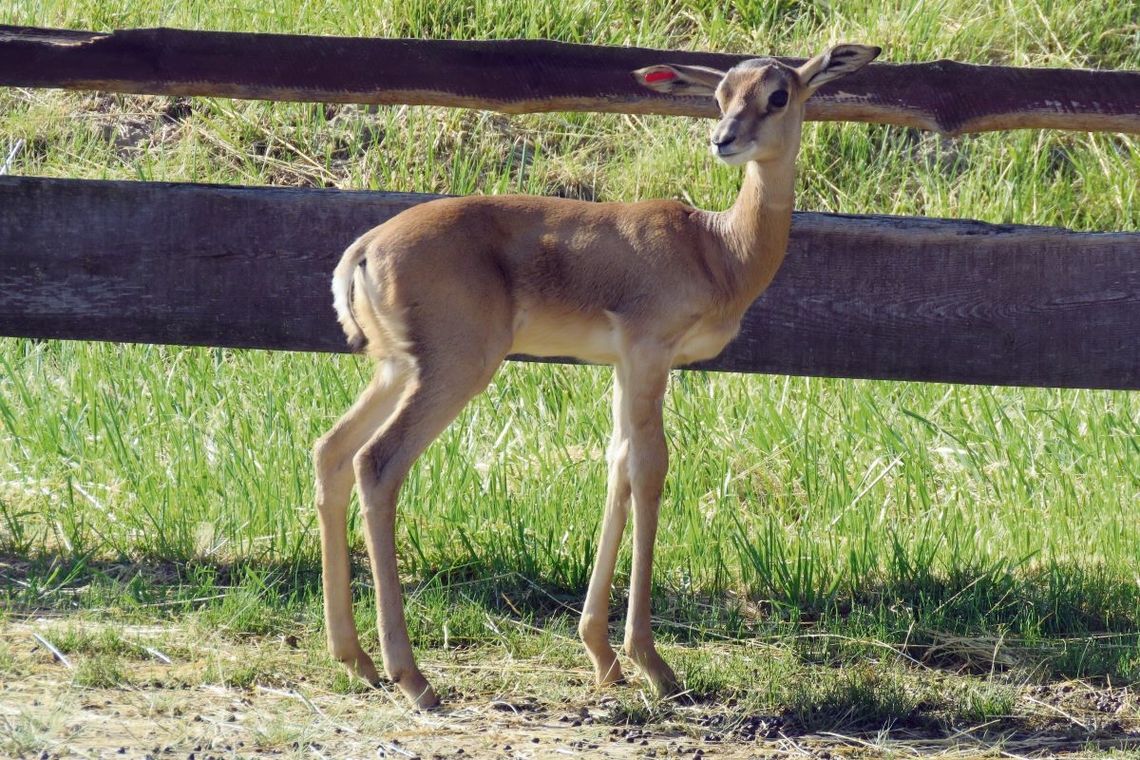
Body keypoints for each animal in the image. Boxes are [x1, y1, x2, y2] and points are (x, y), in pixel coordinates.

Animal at [314, 43, 880, 706]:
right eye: (721, 97)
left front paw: (603, 657)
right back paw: (412, 676)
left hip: (396, 370)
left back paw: (355, 658)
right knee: (377, 464)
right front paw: (653, 663)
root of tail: (365, 249)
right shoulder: (649, 353)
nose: (724, 139)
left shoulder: (622, 367)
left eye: (777, 94)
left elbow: (617, 466)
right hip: (454, 371)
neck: (718, 249)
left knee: (331, 451)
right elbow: (650, 469)